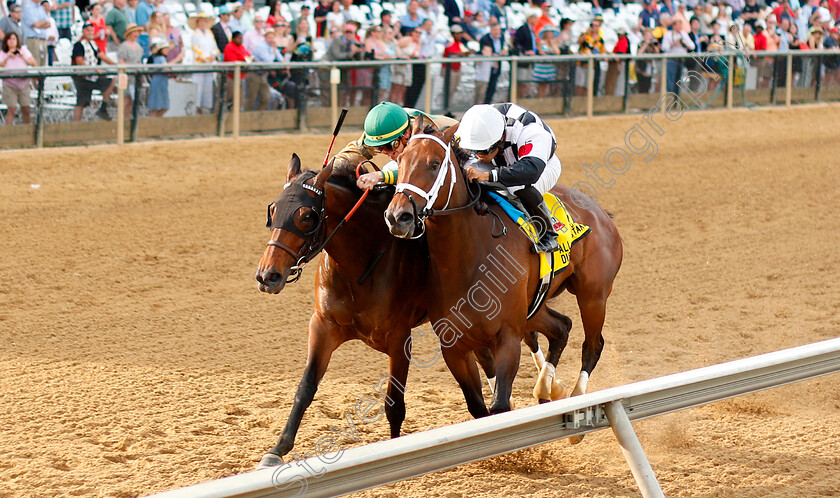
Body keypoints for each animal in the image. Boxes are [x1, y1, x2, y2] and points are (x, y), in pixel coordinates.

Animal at [253, 153, 560, 466]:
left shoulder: (399, 338)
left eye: (306, 216)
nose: (268, 276)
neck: (361, 264)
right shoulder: (323, 325)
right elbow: (305, 388)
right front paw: (276, 450)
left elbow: (394, 403)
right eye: (273, 210)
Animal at [384, 117, 620, 424]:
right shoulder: (455, 346)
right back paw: (547, 387)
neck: (467, 259)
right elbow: (479, 409)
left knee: (592, 344)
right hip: (534, 306)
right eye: (400, 160)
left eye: (434, 164)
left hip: (593, 296)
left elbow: (499, 406)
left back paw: (577, 399)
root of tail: (602, 213)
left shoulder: (507, 337)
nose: (397, 216)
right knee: (561, 327)